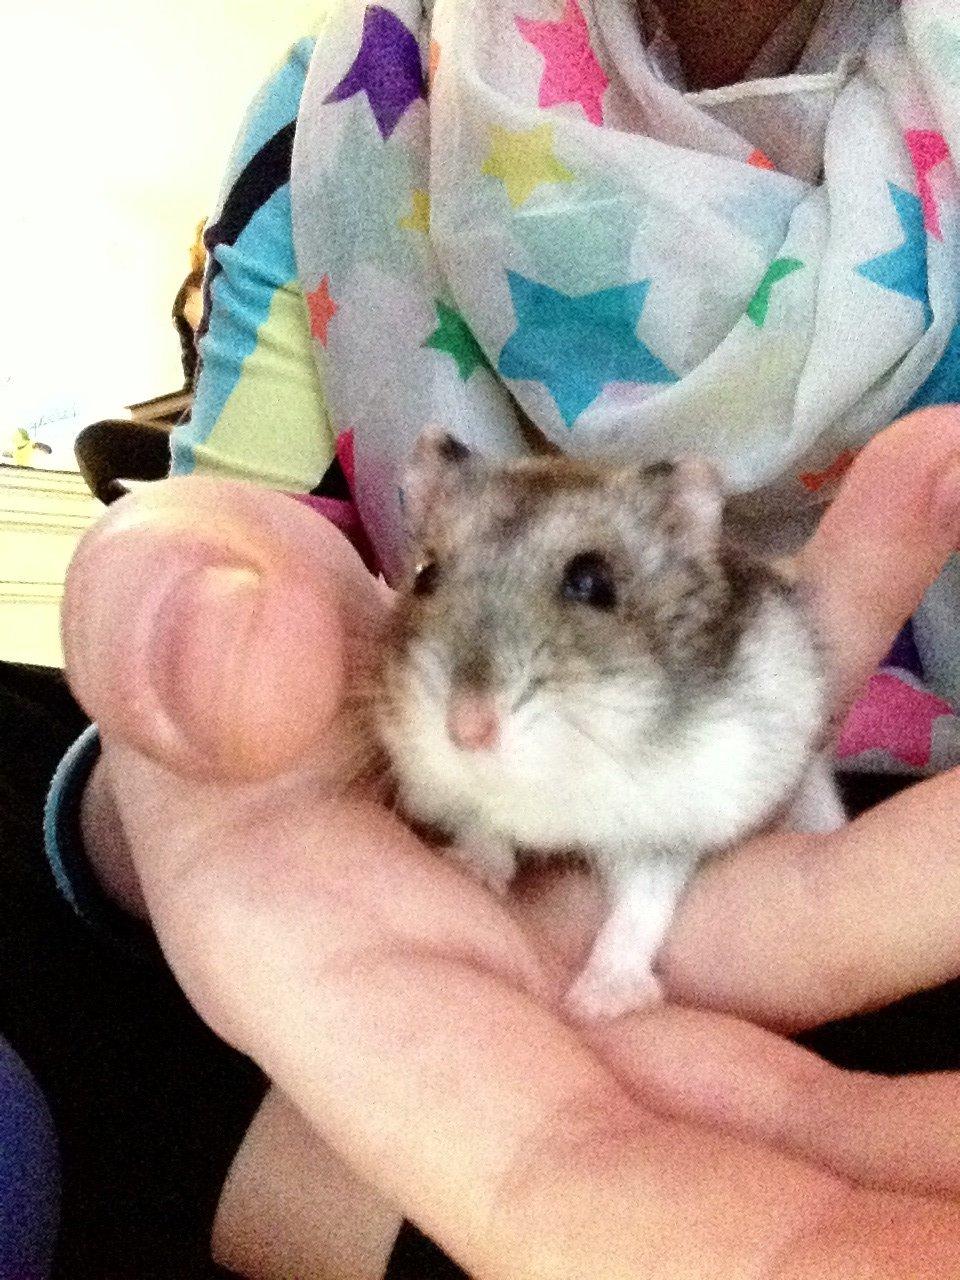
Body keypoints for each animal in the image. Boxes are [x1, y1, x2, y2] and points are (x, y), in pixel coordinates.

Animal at [376, 429, 845, 1019]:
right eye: (425, 575)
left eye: (592, 582)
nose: (465, 731)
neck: (550, 779)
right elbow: (486, 826)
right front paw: (470, 869)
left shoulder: (668, 825)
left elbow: (641, 907)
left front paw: (596, 1003)